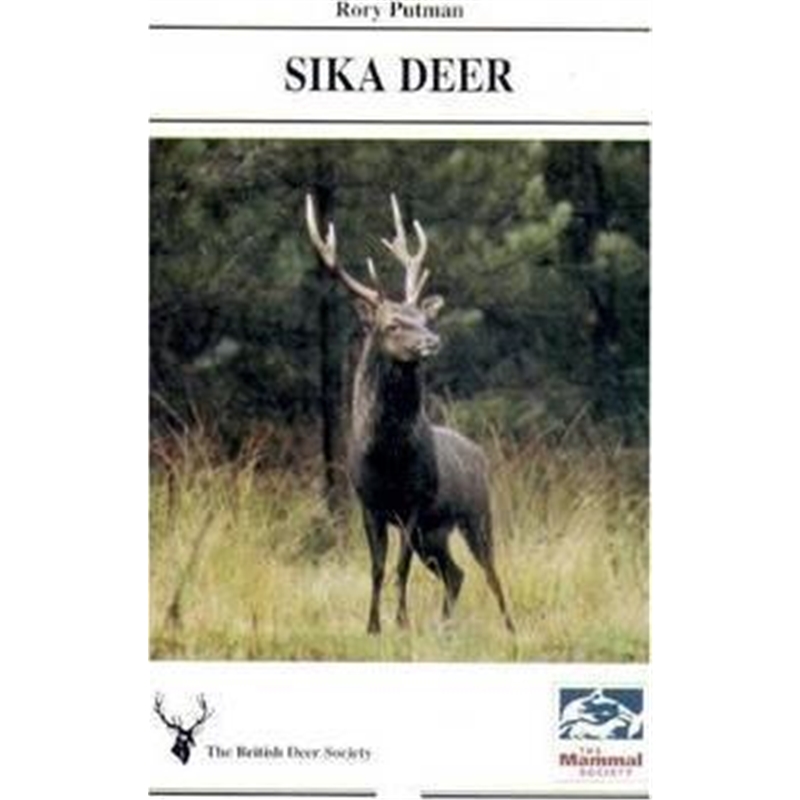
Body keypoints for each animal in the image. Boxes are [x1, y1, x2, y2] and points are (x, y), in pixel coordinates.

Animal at [305, 192, 515, 635]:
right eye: (393, 324)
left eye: (423, 317)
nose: (431, 340)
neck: (388, 457)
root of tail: (479, 453)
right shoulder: (369, 504)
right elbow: (377, 569)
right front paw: (373, 626)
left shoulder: (414, 503)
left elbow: (399, 569)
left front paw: (401, 622)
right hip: (433, 534)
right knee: (455, 573)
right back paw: (445, 626)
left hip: (476, 513)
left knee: (490, 572)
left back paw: (510, 627)